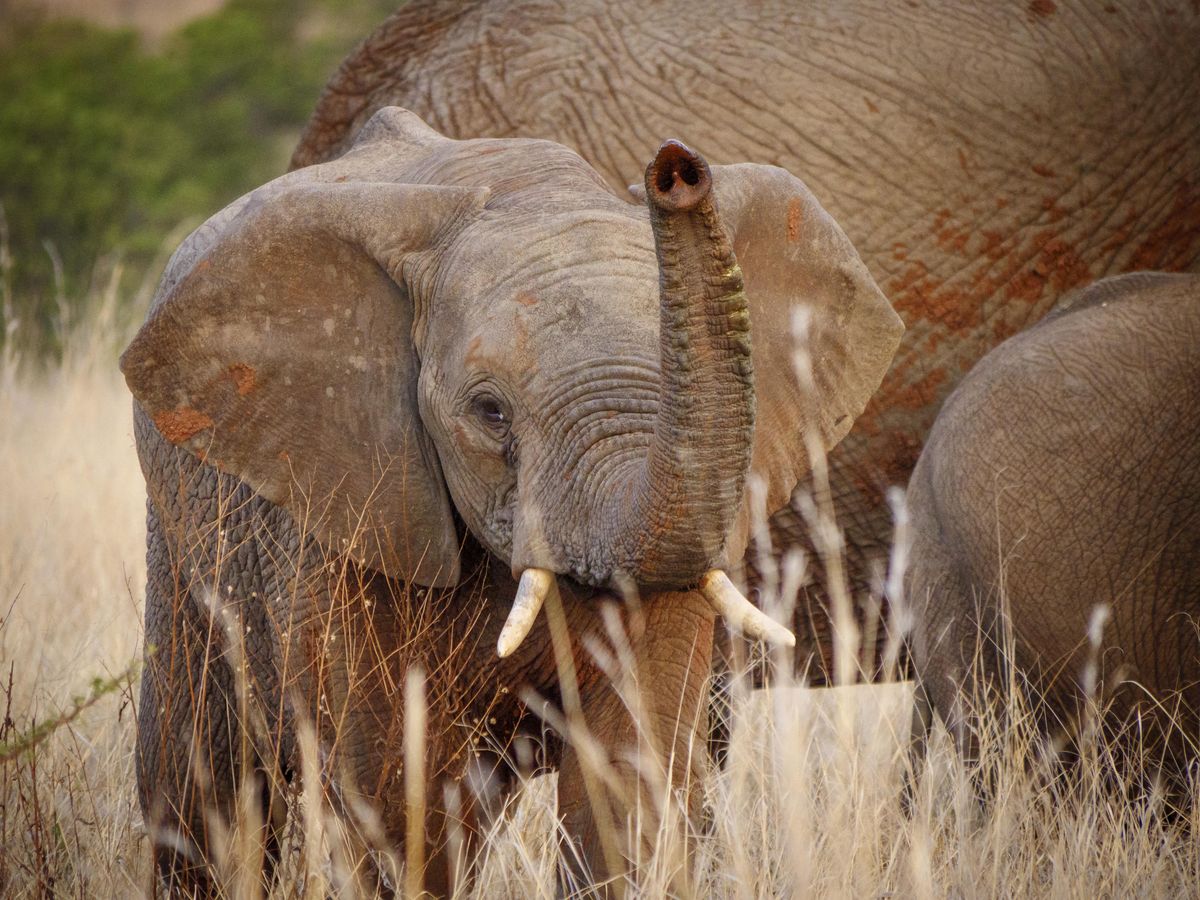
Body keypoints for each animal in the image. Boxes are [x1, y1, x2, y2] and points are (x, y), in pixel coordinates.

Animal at [122, 108, 902, 894]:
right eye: (491, 412)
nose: (676, 172)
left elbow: (632, 773)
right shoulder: (343, 507)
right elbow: (396, 790)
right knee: (201, 793)